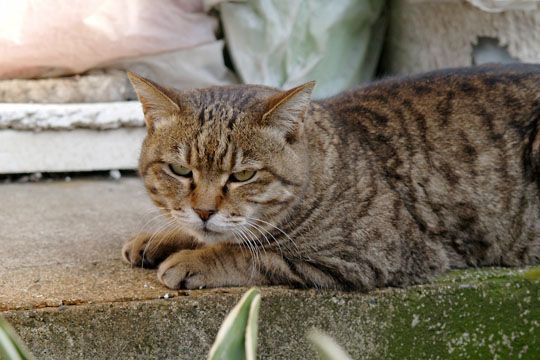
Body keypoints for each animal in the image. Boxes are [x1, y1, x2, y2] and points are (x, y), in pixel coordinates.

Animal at [121, 64, 540, 290]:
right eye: (180, 170)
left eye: (243, 175)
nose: (205, 211)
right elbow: (198, 229)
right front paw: (160, 237)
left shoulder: (366, 257)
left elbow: (249, 253)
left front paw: (192, 258)